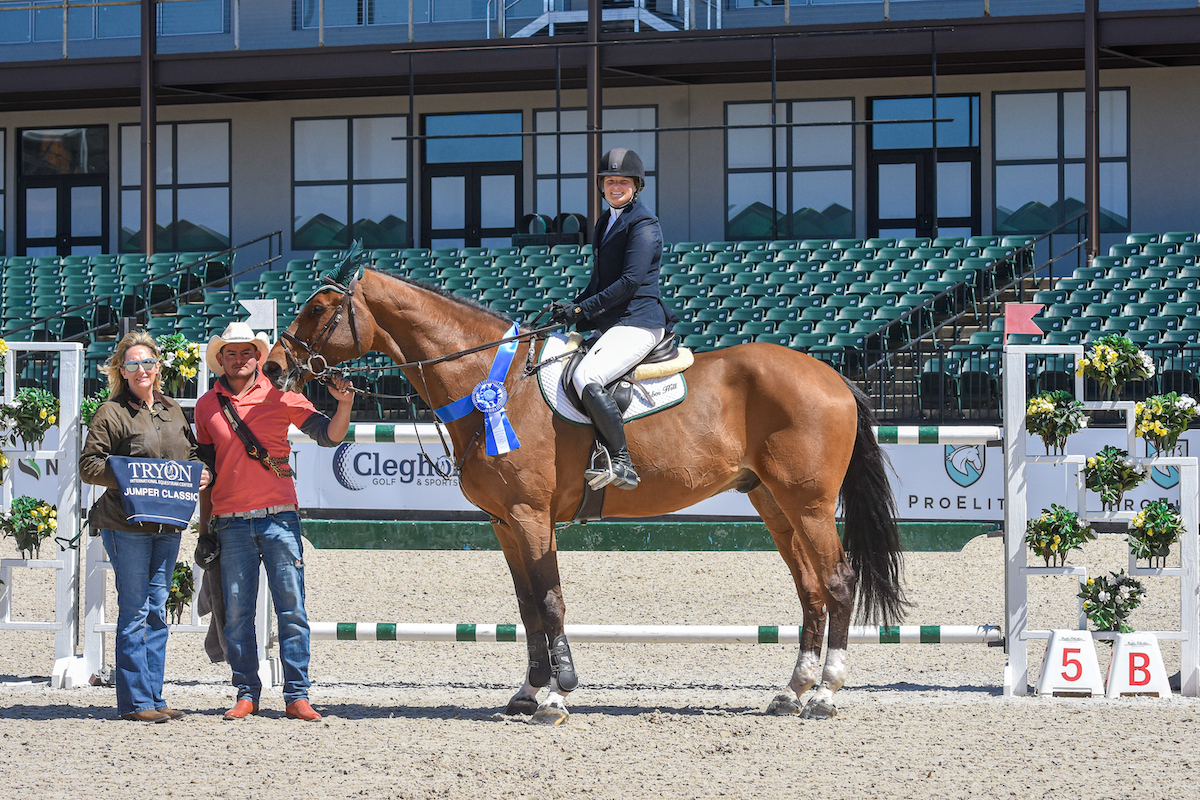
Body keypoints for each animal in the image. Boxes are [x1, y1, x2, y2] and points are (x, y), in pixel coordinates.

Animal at [262, 263, 902, 724]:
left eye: (318, 309)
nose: (272, 368)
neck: (490, 382)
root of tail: (833, 375)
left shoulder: (530, 515)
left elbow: (549, 601)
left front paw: (556, 697)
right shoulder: (503, 522)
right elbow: (526, 606)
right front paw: (528, 691)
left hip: (808, 504)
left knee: (838, 583)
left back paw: (825, 695)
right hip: (773, 504)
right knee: (811, 591)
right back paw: (792, 692)